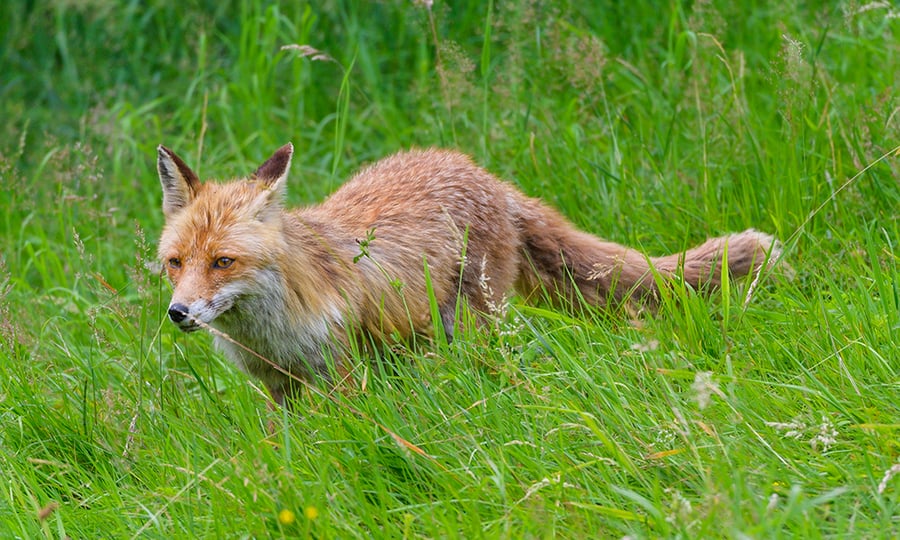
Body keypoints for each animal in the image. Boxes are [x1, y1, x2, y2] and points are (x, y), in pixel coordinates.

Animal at [156, 143, 780, 406]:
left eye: (223, 262)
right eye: (175, 263)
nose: (178, 313)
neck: (270, 330)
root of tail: (488, 176)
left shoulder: (341, 373)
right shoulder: (276, 386)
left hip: (473, 326)